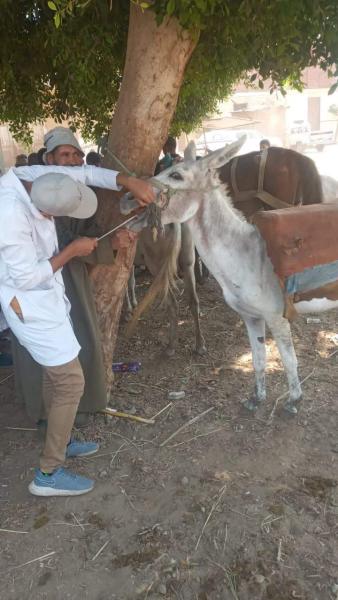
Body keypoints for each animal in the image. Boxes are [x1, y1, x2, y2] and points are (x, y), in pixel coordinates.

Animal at [126, 138, 338, 414]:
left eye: (176, 175)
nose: (127, 198)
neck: (247, 254)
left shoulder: (277, 315)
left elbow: (289, 360)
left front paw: (293, 402)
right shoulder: (250, 315)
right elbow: (259, 358)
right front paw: (256, 399)